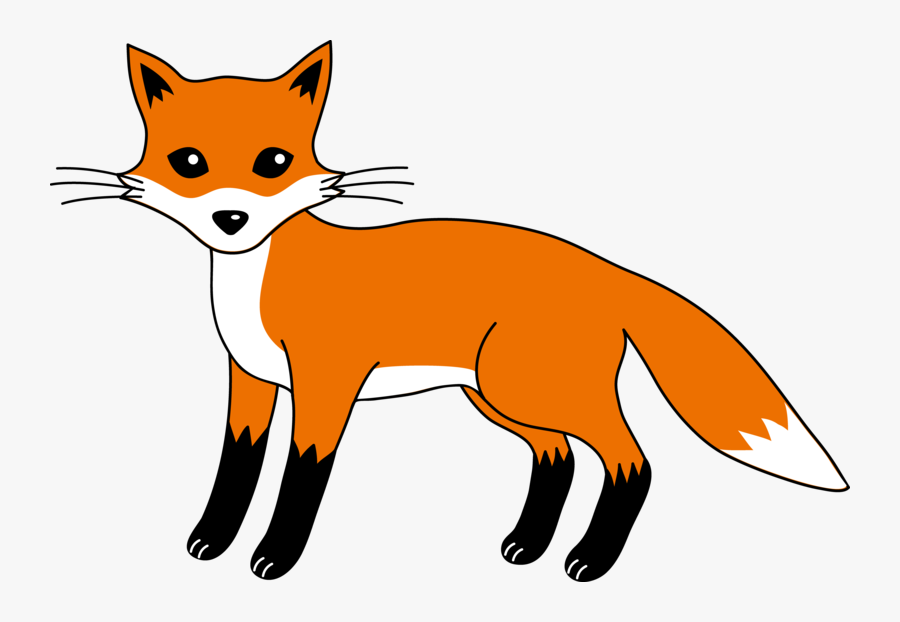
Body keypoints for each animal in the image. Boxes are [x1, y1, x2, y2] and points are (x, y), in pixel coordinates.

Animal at [54, 41, 848, 582]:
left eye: (273, 163)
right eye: (188, 162)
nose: (230, 219)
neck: (259, 279)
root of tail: (606, 267)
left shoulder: (326, 383)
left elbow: (301, 476)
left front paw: (276, 556)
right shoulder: (249, 380)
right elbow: (236, 464)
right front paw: (212, 541)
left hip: (536, 390)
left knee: (632, 464)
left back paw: (589, 559)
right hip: (496, 396)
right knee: (557, 458)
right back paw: (527, 546)